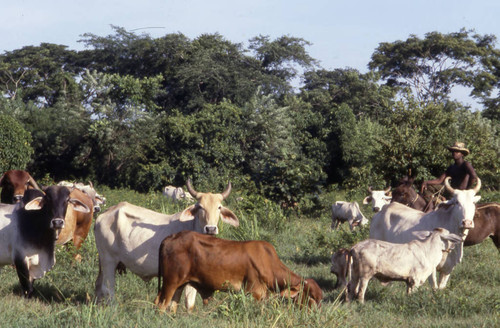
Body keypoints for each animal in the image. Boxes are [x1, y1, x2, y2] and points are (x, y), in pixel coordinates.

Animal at [96, 179, 241, 310]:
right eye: (200, 207)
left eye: (219, 207)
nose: (210, 229)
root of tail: (106, 213)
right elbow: (188, 301)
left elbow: (177, 301)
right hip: (109, 260)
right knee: (107, 288)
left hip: (104, 262)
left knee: (98, 285)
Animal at [154, 229, 322, 314]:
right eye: (311, 298)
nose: (316, 315)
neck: (268, 261)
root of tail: (171, 237)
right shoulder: (254, 293)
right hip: (170, 282)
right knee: (162, 305)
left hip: (179, 283)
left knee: (170, 305)